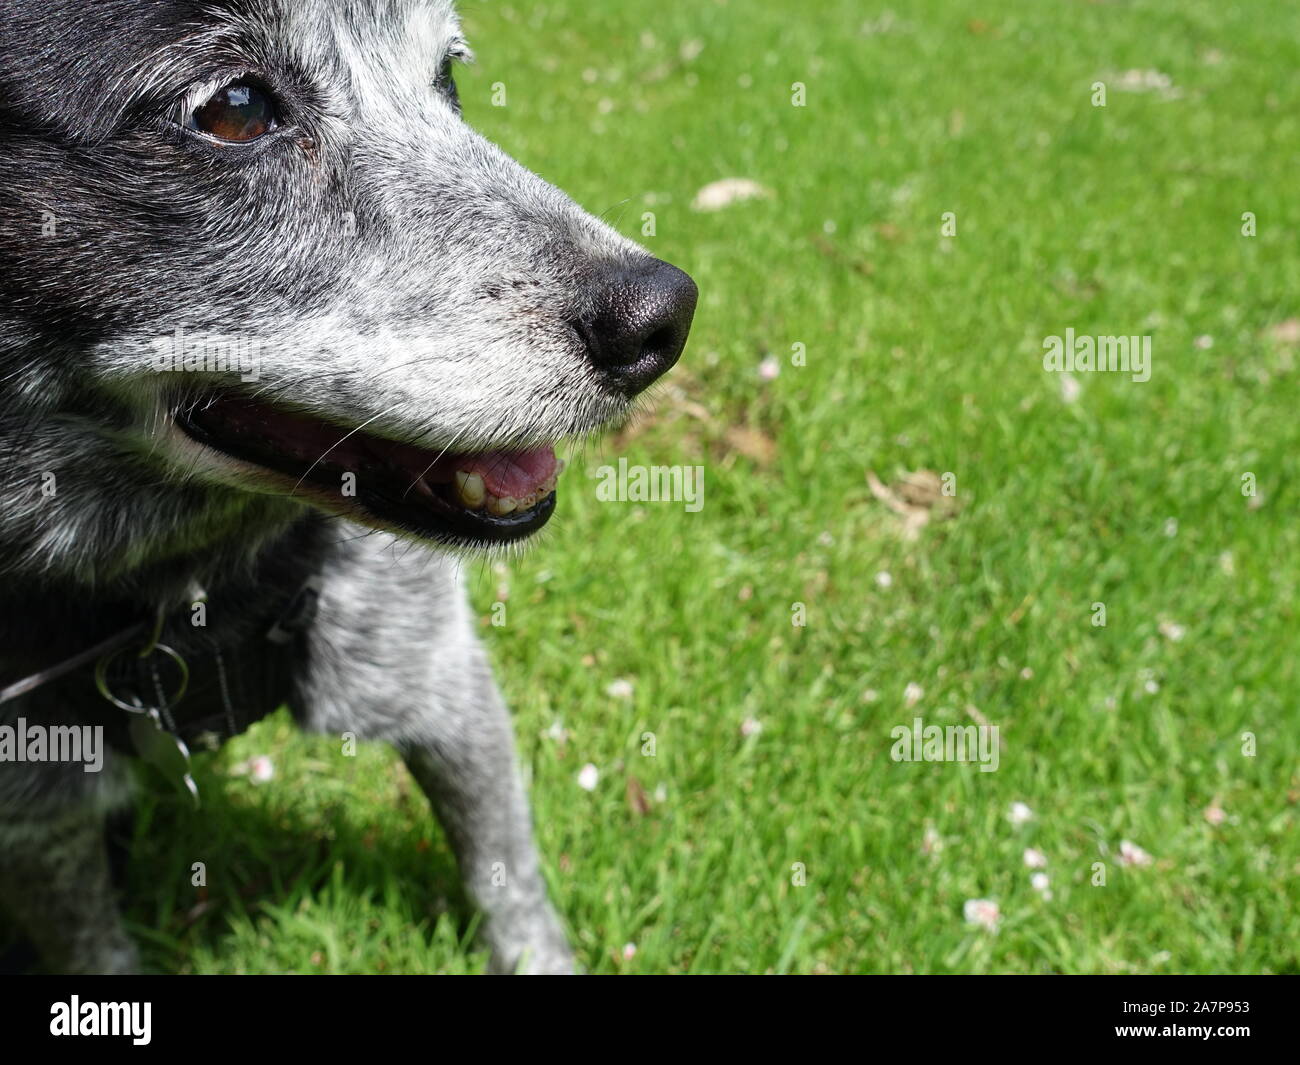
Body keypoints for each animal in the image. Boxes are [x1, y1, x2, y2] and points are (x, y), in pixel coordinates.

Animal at [0, 0, 702, 972]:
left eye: (447, 77)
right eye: (236, 109)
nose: (662, 321)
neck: (188, 589)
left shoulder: (441, 676)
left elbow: (510, 882)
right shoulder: (41, 820)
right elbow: (95, 951)